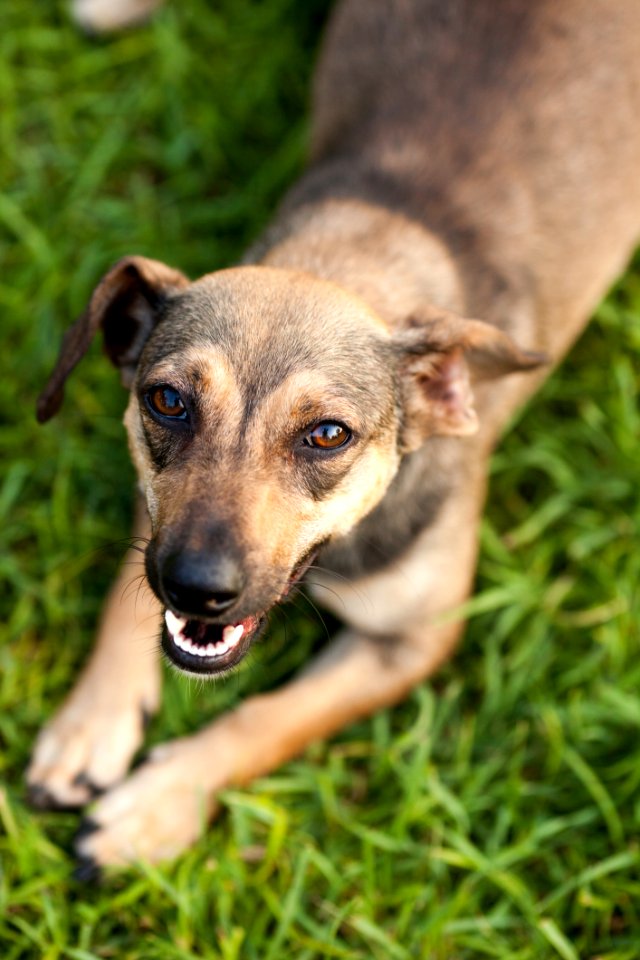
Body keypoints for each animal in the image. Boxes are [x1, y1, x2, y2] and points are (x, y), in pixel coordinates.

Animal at [27, 0, 640, 872]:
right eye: (166, 400)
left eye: (326, 434)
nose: (196, 587)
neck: (350, 261)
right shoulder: (156, 524)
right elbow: (125, 586)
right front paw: (89, 725)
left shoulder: (409, 642)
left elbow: (267, 718)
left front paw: (155, 806)